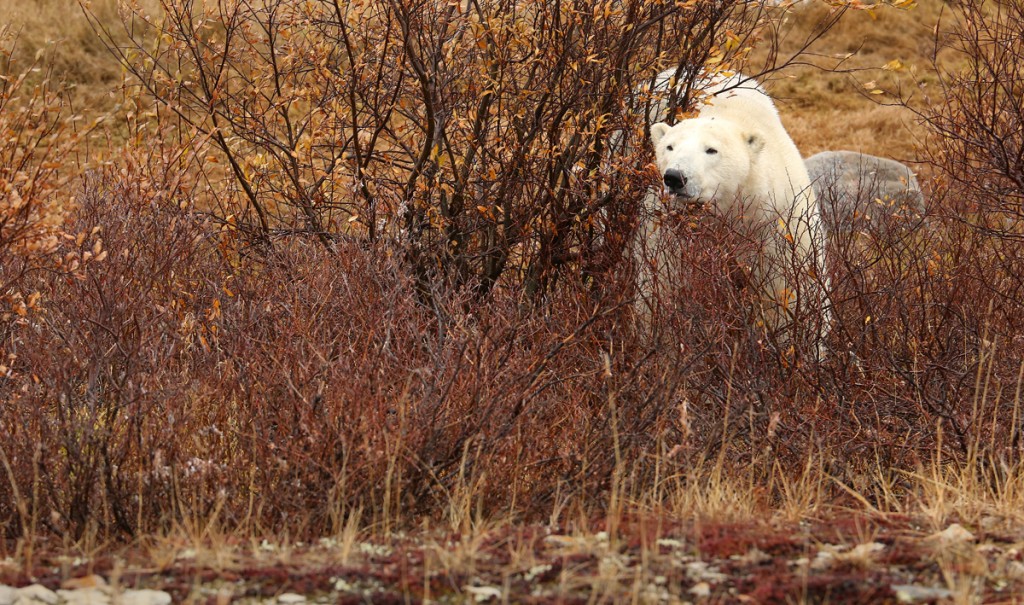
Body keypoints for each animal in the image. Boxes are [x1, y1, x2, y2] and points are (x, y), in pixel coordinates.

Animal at [635, 70, 828, 350]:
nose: (674, 177)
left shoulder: (778, 223)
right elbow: (662, 284)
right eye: (669, 147)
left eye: (711, 150)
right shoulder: (667, 229)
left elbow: (789, 289)